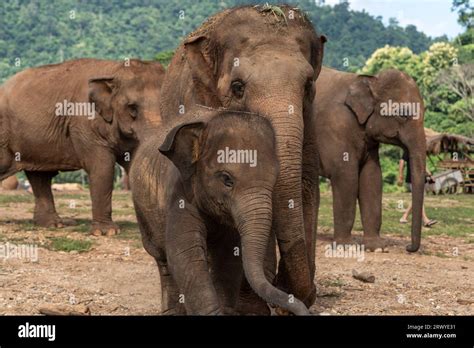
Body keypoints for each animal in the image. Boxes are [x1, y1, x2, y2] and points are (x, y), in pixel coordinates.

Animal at [0, 58, 165, 235]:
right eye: (132, 108)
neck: (114, 68)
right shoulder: (84, 124)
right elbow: (102, 167)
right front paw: (106, 232)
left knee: (40, 177)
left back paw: (53, 224)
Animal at [129, 108, 312, 316]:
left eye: (274, 180)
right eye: (226, 179)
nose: (302, 310)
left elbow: (228, 256)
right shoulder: (180, 194)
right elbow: (184, 253)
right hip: (143, 213)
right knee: (162, 259)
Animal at [312, 67, 428, 253]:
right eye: (403, 114)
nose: (408, 247)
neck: (371, 80)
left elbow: (372, 178)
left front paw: (377, 247)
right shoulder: (335, 126)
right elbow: (346, 177)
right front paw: (347, 247)